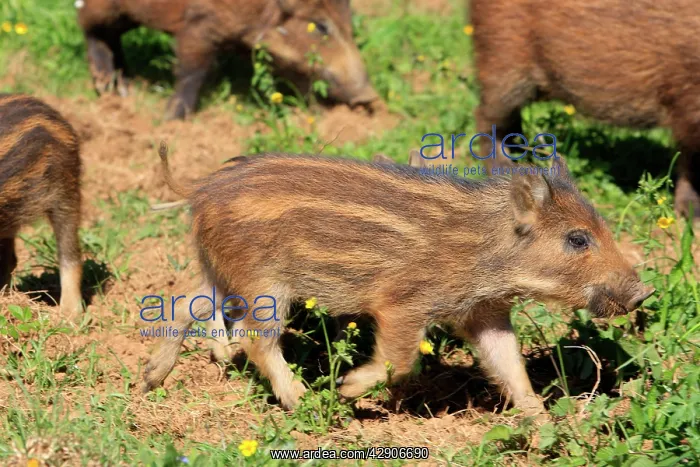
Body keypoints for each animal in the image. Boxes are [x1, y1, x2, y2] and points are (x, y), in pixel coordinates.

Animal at [77, 0, 379, 120]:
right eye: (320, 26)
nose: (369, 96)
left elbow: (298, 78)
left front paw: (316, 112)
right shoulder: (198, 27)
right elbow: (192, 71)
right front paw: (173, 119)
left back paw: (124, 87)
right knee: (90, 26)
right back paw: (105, 87)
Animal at [142, 144, 653, 414]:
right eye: (577, 239)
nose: (644, 291)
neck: (484, 249)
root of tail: (202, 188)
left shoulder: (484, 313)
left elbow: (512, 368)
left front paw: (542, 424)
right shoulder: (402, 303)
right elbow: (402, 360)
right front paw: (347, 389)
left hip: (223, 270)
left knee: (187, 300)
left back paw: (152, 378)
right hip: (263, 283)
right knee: (255, 339)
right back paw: (304, 400)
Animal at [470, 0, 700, 218]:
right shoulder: (687, 104)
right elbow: (690, 161)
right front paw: (691, 214)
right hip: (504, 65)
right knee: (486, 118)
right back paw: (504, 171)